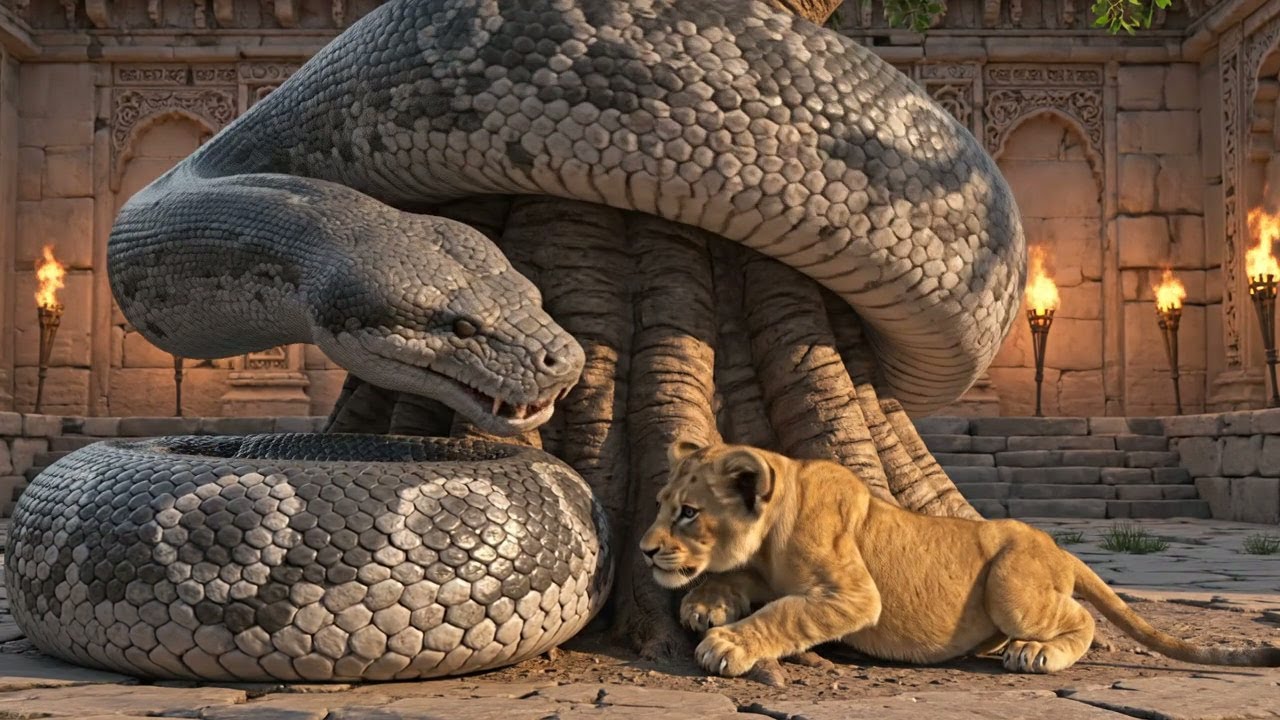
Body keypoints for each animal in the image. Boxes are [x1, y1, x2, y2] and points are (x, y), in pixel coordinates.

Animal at [639, 438, 1280, 677]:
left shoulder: (854, 593)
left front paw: (726, 643)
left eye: (688, 512)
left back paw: (1035, 654)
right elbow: (743, 583)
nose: (644, 551)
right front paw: (704, 605)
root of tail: (1058, 546)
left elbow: (785, 612)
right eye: (661, 504)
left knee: (1081, 617)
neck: (773, 528)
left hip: (1012, 584)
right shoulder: (763, 568)